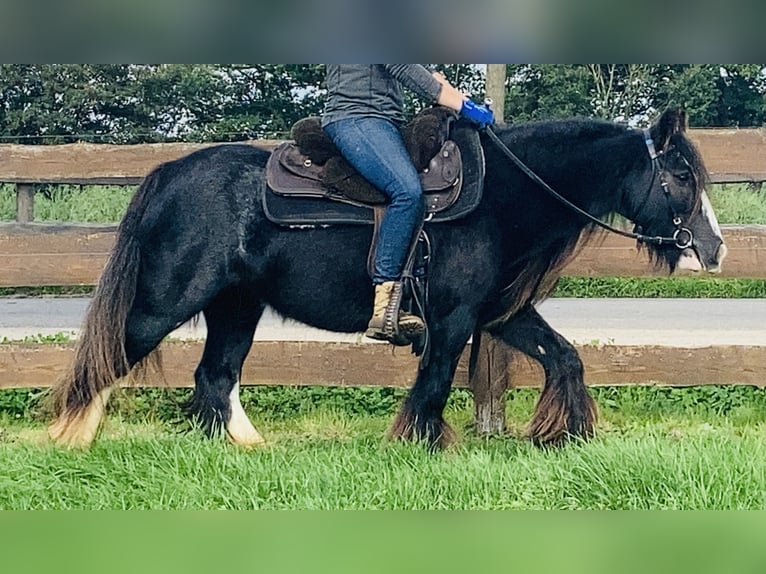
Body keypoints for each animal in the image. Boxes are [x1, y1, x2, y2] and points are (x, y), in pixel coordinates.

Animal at [48, 108, 728, 450]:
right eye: (680, 175)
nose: (714, 249)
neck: (504, 194)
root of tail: (171, 172)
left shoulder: (500, 313)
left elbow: (565, 357)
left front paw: (565, 435)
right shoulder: (453, 320)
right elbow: (434, 383)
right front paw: (416, 445)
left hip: (237, 308)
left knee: (215, 377)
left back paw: (247, 449)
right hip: (163, 302)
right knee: (106, 358)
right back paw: (65, 438)